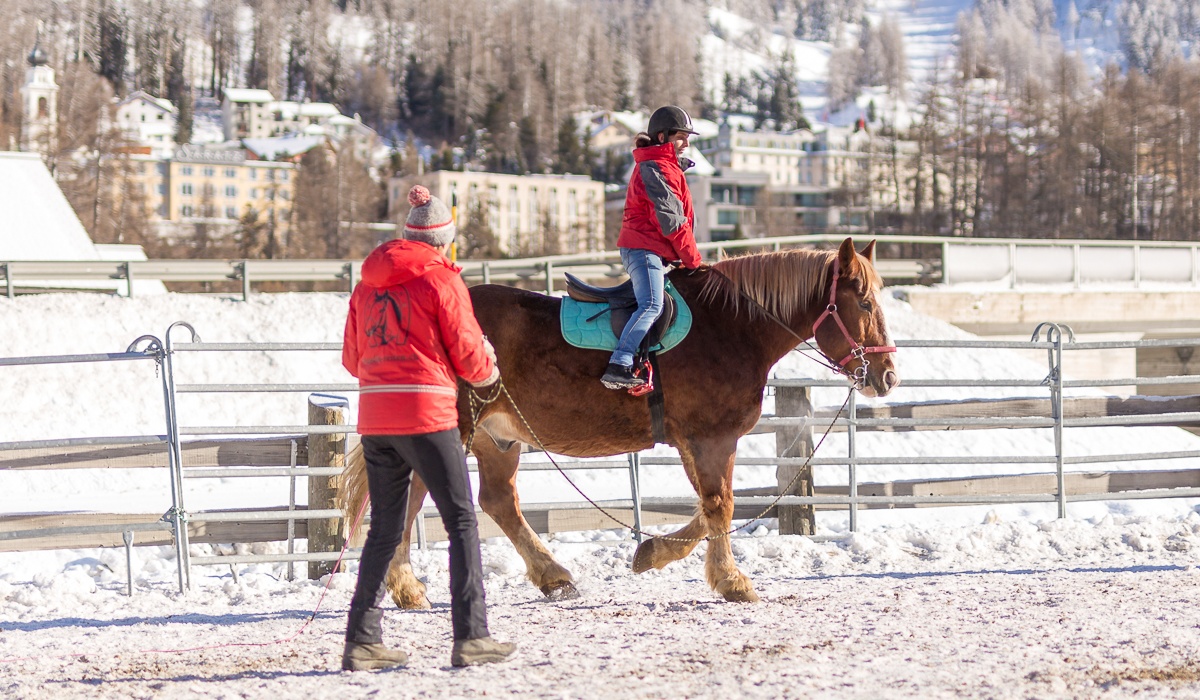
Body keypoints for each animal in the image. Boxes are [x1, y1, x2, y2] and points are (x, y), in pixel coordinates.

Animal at [343, 236, 897, 607]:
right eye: (865, 301)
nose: (887, 375)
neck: (733, 327)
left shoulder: (695, 443)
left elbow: (709, 508)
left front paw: (651, 552)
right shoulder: (711, 438)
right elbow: (721, 506)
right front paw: (731, 580)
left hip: (496, 438)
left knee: (499, 502)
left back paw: (553, 575)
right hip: (451, 430)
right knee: (414, 497)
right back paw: (407, 586)